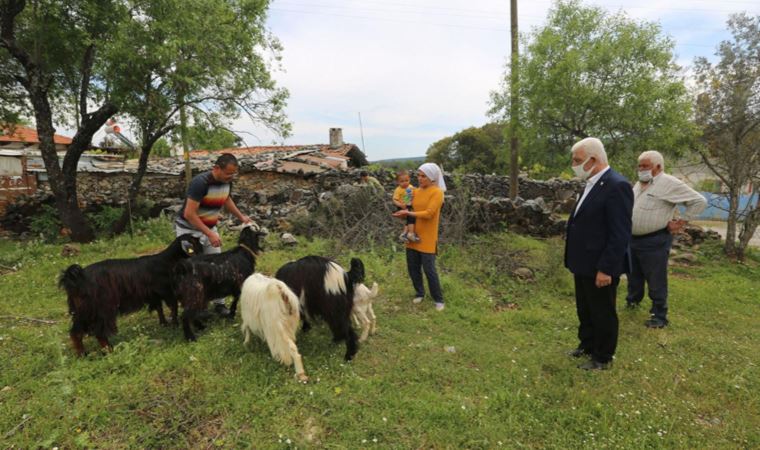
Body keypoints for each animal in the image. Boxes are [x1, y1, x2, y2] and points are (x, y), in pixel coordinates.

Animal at [58, 232, 202, 356]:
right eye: (196, 242)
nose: (202, 251)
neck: (168, 260)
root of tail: (77, 278)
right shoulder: (168, 292)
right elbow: (173, 308)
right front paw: (174, 325)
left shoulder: (154, 295)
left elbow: (159, 308)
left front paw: (164, 324)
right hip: (102, 308)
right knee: (99, 332)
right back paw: (109, 350)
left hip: (82, 310)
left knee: (76, 332)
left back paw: (82, 354)